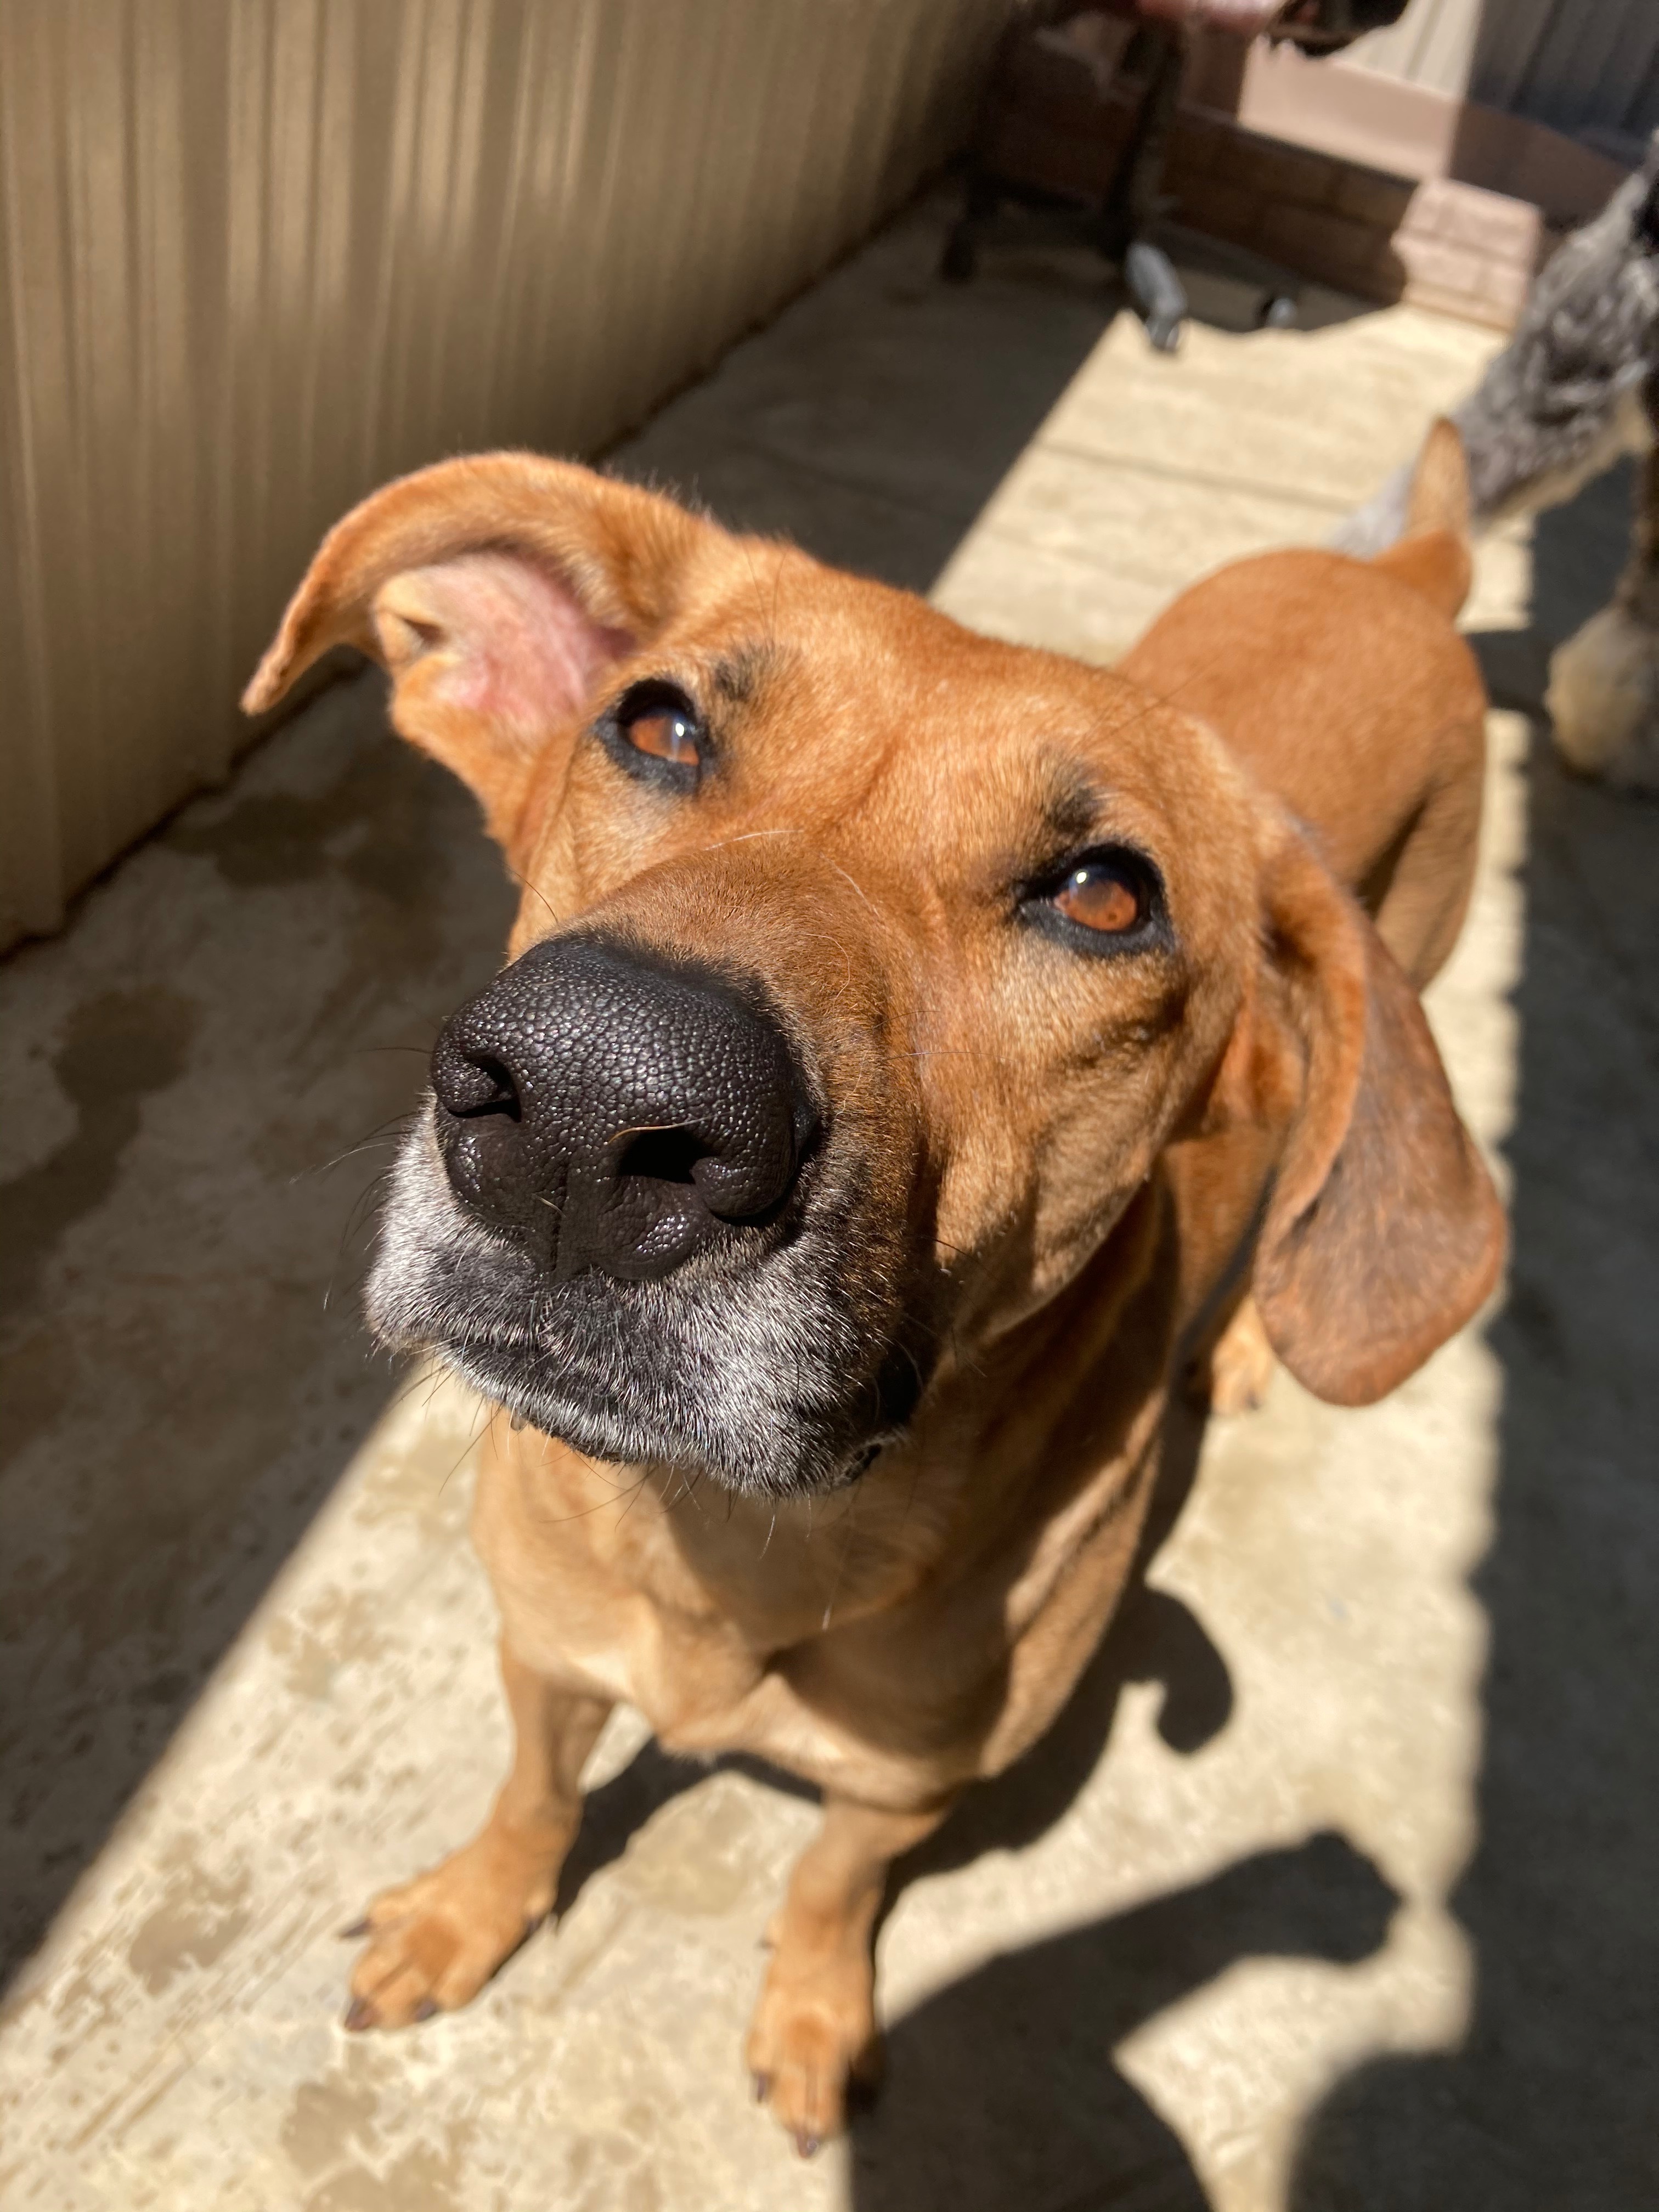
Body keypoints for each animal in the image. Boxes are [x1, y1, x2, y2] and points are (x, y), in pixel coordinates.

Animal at [246, 422, 1504, 2150]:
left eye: (1108, 894)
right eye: (656, 725)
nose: (588, 1106)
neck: (734, 1545)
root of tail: (1405, 573)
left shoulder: (905, 1789)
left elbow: (832, 1886)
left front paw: (813, 2013)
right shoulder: (545, 1655)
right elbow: (536, 1794)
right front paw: (470, 1911)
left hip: (1413, 979)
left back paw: (1251, 1341)